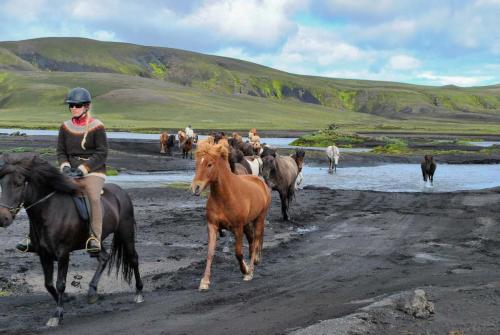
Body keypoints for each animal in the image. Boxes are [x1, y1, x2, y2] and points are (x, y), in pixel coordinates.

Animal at [0, 154, 144, 328]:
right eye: (1, 183)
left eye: (18, 183)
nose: (3, 218)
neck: (50, 210)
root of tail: (121, 192)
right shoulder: (43, 254)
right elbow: (48, 284)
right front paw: (67, 300)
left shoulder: (63, 253)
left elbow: (60, 283)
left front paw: (57, 314)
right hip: (94, 242)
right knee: (104, 257)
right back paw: (92, 291)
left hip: (126, 232)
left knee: (133, 259)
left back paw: (139, 293)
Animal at [190, 142, 270, 292]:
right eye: (197, 164)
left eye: (209, 164)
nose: (195, 188)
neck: (226, 196)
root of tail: (260, 181)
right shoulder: (212, 225)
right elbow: (210, 253)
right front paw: (204, 281)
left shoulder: (237, 228)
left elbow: (238, 253)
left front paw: (245, 270)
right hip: (248, 224)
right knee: (252, 242)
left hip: (260, 219)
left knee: (256, 241)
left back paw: (250, 271)